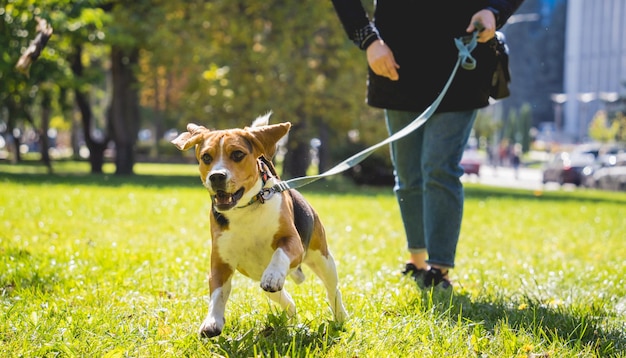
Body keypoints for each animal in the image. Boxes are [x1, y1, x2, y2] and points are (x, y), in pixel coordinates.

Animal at [171, 113, 346, 338]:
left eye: (237, 154)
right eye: (206, 157)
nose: (216, 176)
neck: (245, 208)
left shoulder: (292, 242)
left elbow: (280, 253)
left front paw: (273, 275)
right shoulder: (220, 263)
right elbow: (218, 293)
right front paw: (212, 321)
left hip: (323, 259)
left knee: (333, 290)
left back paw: (340, 317)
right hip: (261, 277)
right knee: (287, 299)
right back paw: (291, 317)